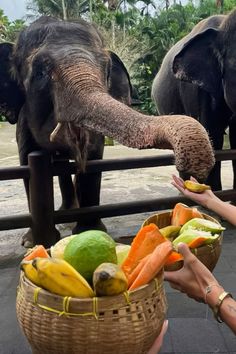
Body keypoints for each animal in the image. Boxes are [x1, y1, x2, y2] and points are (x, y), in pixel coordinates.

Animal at [0, 15, 215, 246]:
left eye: (106, 68)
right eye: (40, 72)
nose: (192, 168)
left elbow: (93, 160)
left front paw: (88, 231)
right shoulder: (23, 122)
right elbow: (27, 161)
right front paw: (31, 243)